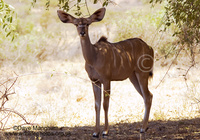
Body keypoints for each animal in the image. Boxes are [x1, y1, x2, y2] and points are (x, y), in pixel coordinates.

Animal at [57, 7, 154, 137]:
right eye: (76, 24)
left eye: (87, 23)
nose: (82, 33)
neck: (94, 57)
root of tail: (150, 48)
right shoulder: (94, 81)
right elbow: (97, 104)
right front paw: (95, 132)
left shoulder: (106, 80)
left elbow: (105, 104)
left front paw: (105, 131)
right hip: (133, 77)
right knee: (147, 96)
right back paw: (145, 127)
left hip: (142, 74)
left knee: (147, 96)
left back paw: (143, 128)